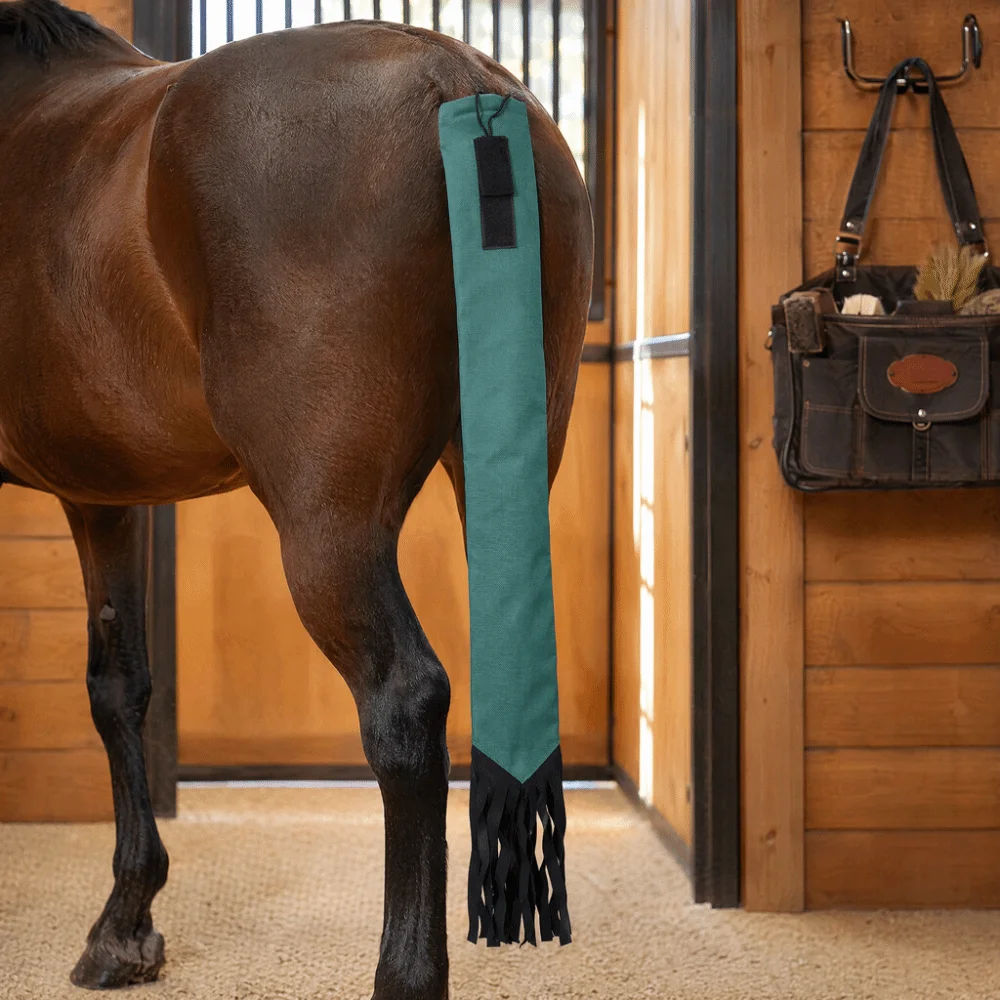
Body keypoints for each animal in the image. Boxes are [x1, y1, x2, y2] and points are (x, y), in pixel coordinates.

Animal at [0, 1, 593, 995]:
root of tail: (456, 80)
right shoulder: (103, 491)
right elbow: (118, 687)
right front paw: (126, 923)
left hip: (330, 529)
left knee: (404, 702)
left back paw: (405, 973)